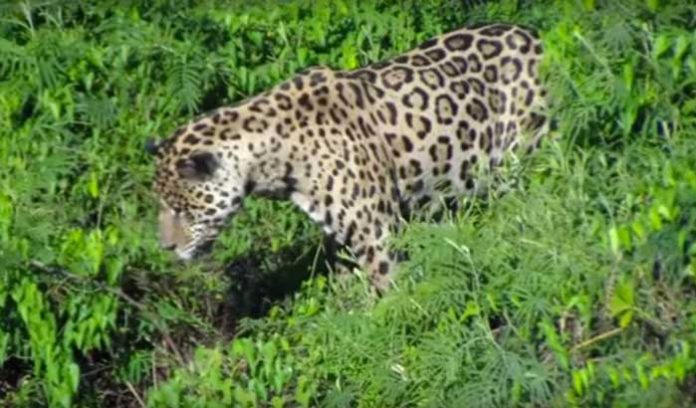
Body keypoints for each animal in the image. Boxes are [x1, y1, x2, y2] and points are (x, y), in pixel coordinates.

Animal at [146, 23, 550, 291]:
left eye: (180, 209)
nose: (165, 248)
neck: (272, 164)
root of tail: (533, 36)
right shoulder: (339, 234)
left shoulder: (377, 232)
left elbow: (389, 293)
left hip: (527, 146)